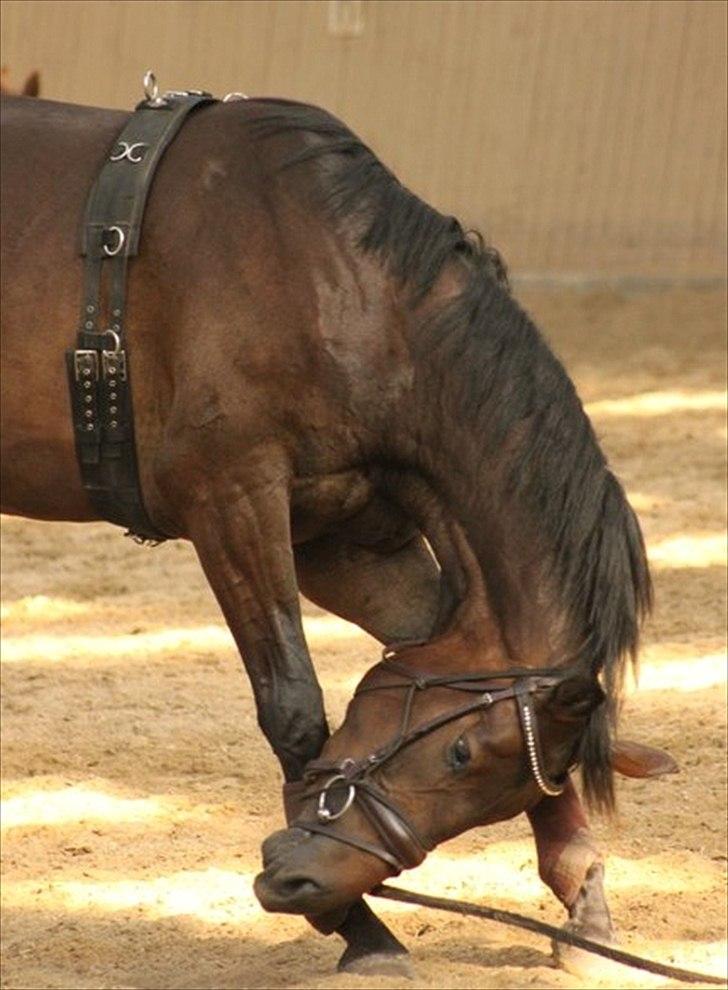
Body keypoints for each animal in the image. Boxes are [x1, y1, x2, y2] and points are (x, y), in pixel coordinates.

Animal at [2, 93, 668, 976]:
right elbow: (292, 708)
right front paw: (358, 926)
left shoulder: (350, 541)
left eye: (493, 783)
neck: (335, 286)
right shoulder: (234, 502)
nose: (303, 879)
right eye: (460, 754)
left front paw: (586, 909)